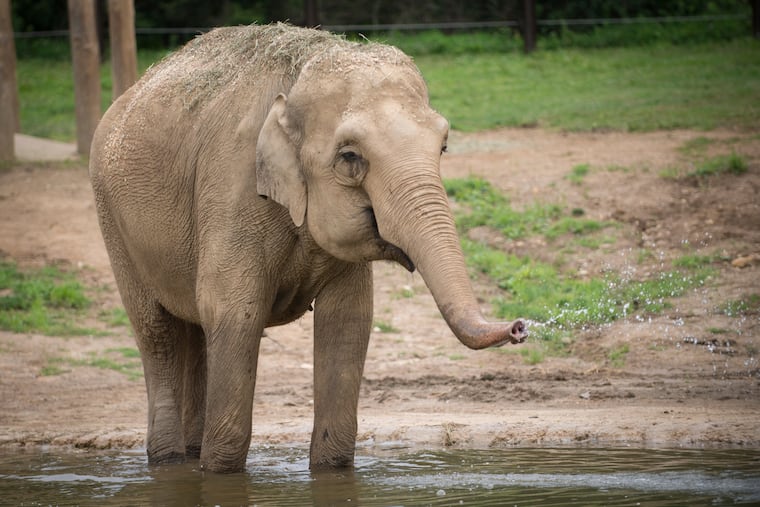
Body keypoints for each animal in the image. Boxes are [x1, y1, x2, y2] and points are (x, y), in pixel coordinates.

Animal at [89, 23, 527, 474]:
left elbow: (348, 320)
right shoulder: (231, 187)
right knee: (157, 331)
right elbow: (234, 313)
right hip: (113, 221)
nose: (519, 327)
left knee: (191, 331)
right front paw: (220, 472)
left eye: (442, 147)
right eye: (350, 158)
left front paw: (331, 470)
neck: (297, 78)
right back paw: (168, 461)